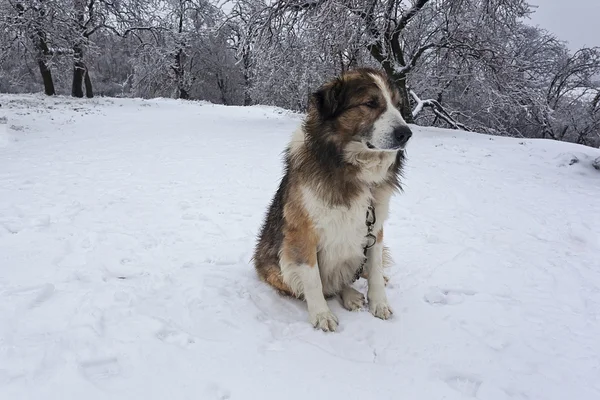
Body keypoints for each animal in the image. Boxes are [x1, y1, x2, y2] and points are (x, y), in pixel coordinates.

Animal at [252, 69, 412, 332]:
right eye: (370, 103)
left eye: (398, 105)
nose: (406, 133)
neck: (351, 169)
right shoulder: (302, 233)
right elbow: (313, 281)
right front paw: (321, 315)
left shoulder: (375, 228)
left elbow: (375, 270)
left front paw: (379, 303)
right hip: (278, 267)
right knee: (326, 286)